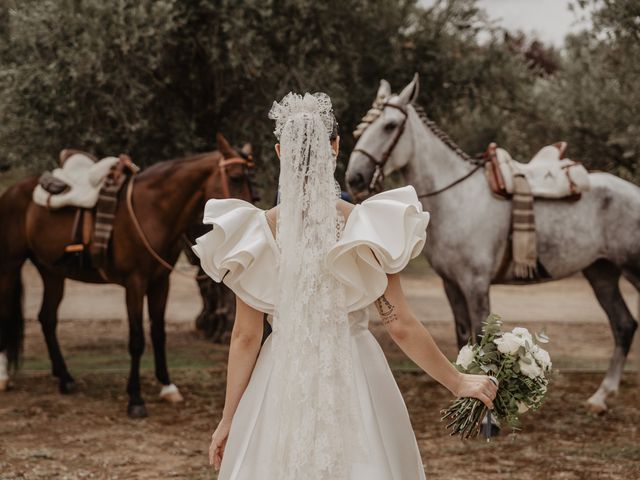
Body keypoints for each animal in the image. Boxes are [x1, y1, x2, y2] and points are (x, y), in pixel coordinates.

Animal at [0, 134, 255, 416]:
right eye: (235, 177)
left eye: (251, 178)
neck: (153, 211)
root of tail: (12, 191)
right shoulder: (135, 283)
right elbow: (136, 339)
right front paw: (135, 399)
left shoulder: (160, 283)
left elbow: (158, 334)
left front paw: (167, 386)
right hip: (10, 265)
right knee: (10, 312)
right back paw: (5, 376)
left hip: (51, 272)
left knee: (47, 318)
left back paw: (65, 378)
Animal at [344, 75, 640, 412]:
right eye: (362, 126)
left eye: (390, 125)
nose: (354, 178)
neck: (456, 198)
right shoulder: (452, 285)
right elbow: (464, 338)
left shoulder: (475, 284)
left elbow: (484, 343)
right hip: (601, 273)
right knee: (623, 325)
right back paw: (601, 396)